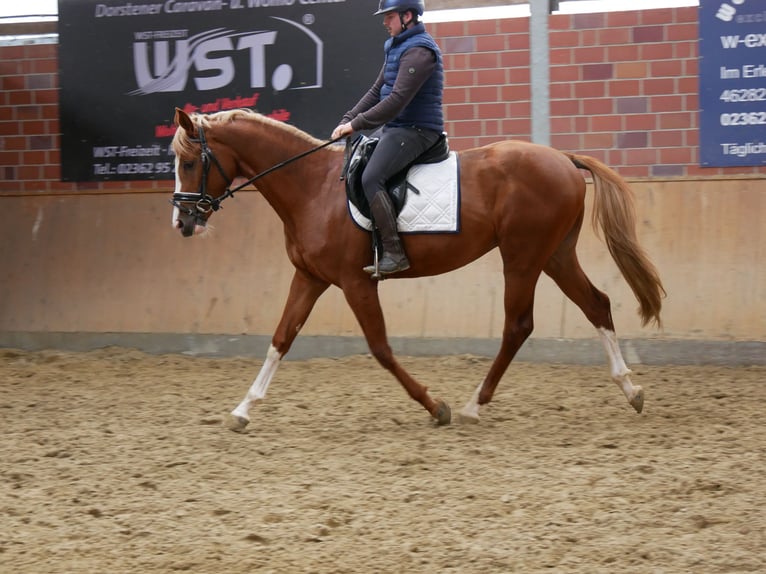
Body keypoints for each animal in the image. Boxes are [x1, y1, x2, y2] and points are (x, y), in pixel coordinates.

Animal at [171, 109, 664, 432]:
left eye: (190, 162)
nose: (183, 222)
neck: (312, 188)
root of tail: (562, 159)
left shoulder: (355, 281)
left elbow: (381, 348)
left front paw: (435, 406)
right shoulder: (310, 278)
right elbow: (280, 339)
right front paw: (242, 410)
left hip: (523, 258)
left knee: (518, 325)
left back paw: (471, 405)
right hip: (555, 254)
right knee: (596, 304)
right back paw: (631, 390)